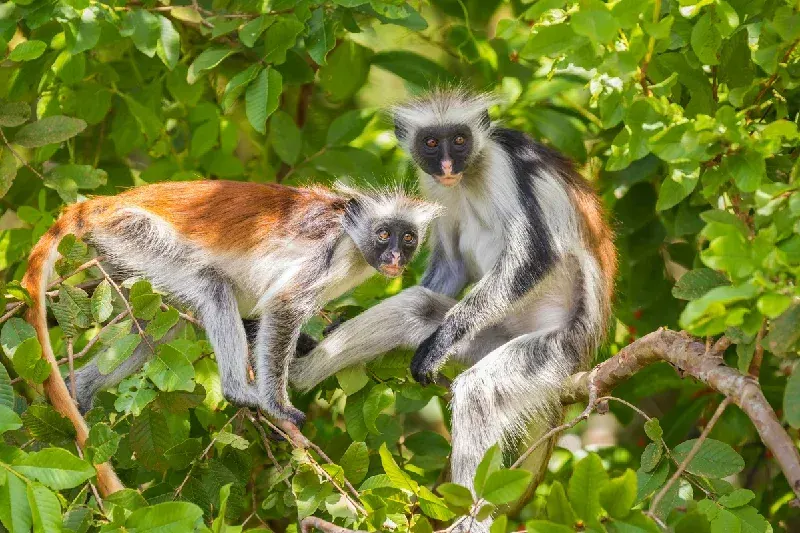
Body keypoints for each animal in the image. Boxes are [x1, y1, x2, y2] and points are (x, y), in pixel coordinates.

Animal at [21, 180, 441, 428]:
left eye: (407, 238)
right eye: (383, 234)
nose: (394, 257)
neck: (351, 235)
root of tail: (102, 204)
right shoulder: (327, 251)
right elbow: (283, 306)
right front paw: (278, 405)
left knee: (162, 325)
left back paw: (81, 388)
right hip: (132, 232)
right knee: (213, 287)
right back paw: (238, 390)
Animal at [289, 89, 616, 531]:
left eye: (460, 140)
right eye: (431, 143)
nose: (447, 165)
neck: (468, 174)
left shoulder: (503, 165)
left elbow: (534, 256)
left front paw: (440, 340)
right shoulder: (434, 187)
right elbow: (451, 264)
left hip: (556, 347)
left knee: (479, 390)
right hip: (489, 335)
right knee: (417, 306)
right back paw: (293, 376)